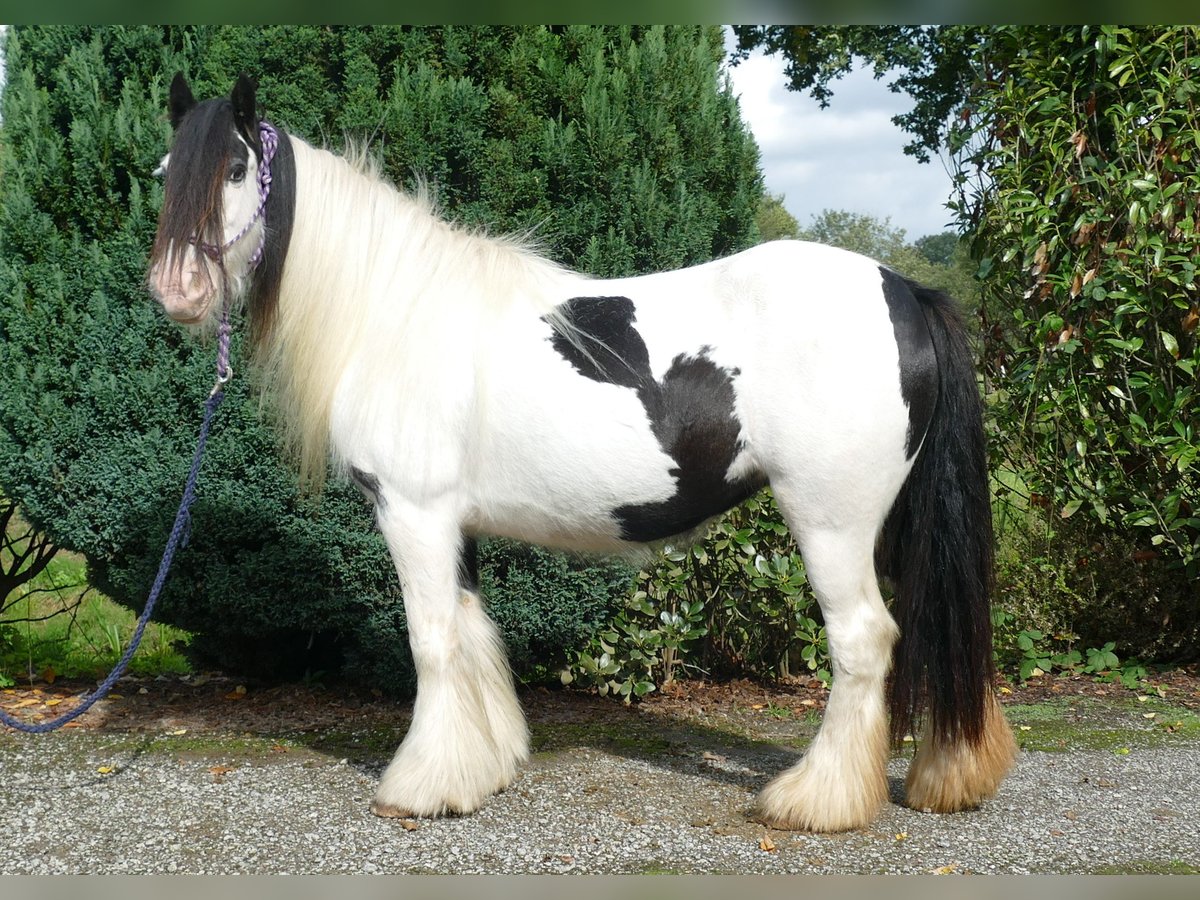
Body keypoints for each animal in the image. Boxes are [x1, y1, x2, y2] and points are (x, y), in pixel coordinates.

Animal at [147, 74, 1012, 835]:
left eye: (233, 168)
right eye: (163, 172)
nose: (175, 290)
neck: (394, 311)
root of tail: (904, 290)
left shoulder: (413, 512)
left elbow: (431, 642)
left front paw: (421, 785)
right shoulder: (453, 524)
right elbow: (473, 635)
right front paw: (483, 768)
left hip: (830, 521)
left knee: (863, 641)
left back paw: (817, 801)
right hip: (892, 524)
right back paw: (946, 776)